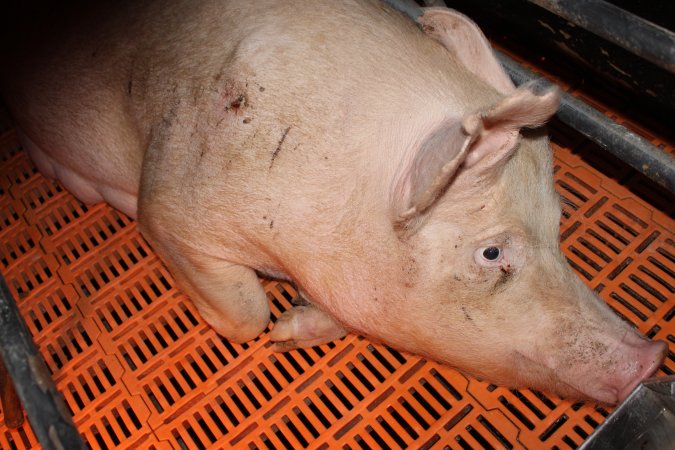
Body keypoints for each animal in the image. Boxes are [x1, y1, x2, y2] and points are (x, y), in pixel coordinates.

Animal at [0, 0, 664, 404]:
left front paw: (295, 324)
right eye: (492, 253)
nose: (652, 358)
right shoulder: (170, 201)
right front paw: (273, 329)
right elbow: (246, 315)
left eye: (558, 221)